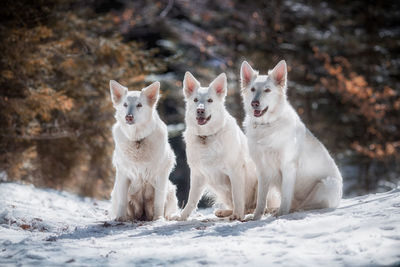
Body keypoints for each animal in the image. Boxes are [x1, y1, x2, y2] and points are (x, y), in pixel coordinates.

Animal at [109, 80, 178, 222]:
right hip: (115, 191)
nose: (128, 117)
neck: (138, 140)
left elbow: (159, 201)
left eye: (139, 105)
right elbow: (123, 200)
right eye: (125, 105)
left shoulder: (161, 175)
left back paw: (171, 216)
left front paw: (158, 218)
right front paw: (120, 218)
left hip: (171, 189)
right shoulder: (123, 173)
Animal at [179, 71, 260, 222]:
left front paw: (238, 215)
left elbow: (237, 195)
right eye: (195, 100)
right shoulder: (197, 174)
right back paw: (224, 212)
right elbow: (191, 200)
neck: (206, 137)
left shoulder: (235, 171)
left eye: (210, 100)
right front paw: (182, 217)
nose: (200, 110)